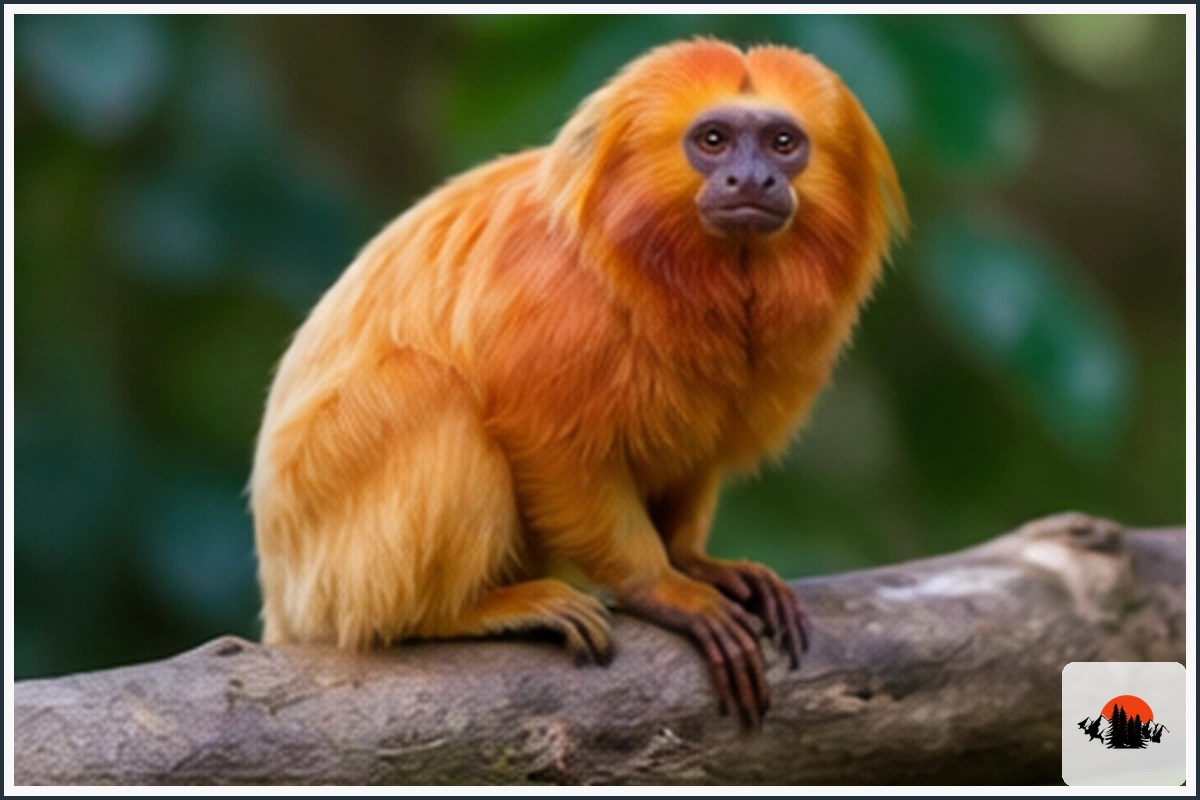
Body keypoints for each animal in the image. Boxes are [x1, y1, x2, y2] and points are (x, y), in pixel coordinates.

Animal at [250, 38, 905, 726]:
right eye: (715, 140)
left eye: (782, 143)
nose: (752, 180)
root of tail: (283, 596)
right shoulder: (555, 302)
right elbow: (549, 444)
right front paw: (662, 587)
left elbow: (694, 453)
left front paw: (694, 561)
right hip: (329, 561)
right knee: (425, 389)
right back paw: (460, 614)